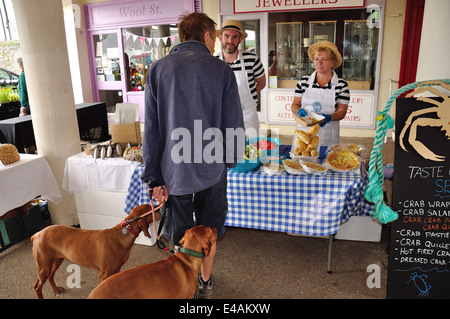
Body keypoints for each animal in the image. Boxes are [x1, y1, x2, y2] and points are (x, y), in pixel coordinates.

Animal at [29, 205, 161, 300]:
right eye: (150, 209)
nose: (160, 209)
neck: (121, 235)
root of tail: (36, 234)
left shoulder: (116, 271)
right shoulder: (104, 275)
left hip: (56, 260)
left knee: (50, 276)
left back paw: (56, 289)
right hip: (43, 266)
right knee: (37, 286)